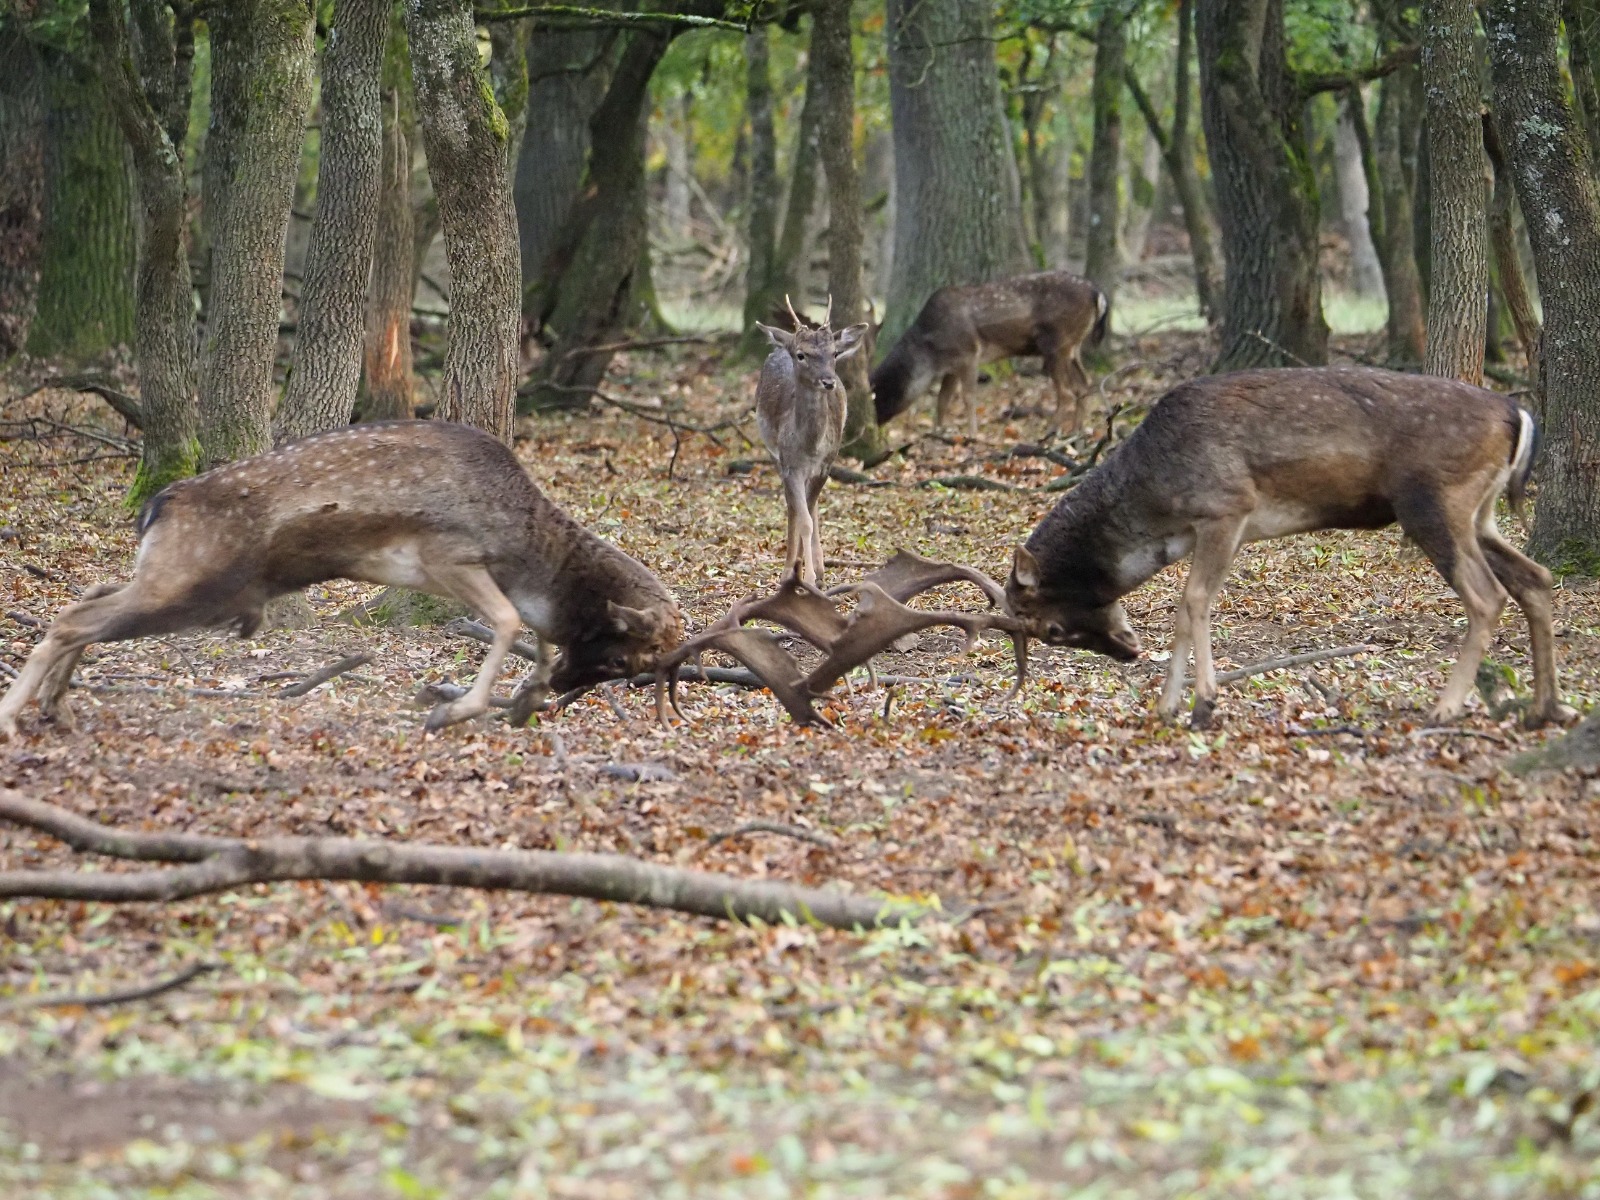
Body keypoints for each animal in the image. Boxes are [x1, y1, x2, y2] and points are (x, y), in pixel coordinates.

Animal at [0, 422, 681, 742]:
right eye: (625, 657)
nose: (567, 687)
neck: (527, 551)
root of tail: (157, 505)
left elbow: (529, 632)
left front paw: (525, 696)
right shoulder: (447, 556)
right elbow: (513, 622)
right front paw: (456, 709)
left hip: (179, 582)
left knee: (89, 597)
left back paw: (58, 707)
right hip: (190, 582)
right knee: (75, 617)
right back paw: (16, 716)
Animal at [755, 296, 870, 588]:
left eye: (834, 353)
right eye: (802, 354)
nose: (828, 381)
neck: (809, 446)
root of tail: (779, 345)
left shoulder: (826, 464)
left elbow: (810, 511)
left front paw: (813, 575)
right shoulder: (789, 464)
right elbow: (802, 518)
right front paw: (799, 576)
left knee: (811, 506)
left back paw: (820, 570)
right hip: (772, 452)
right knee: (792, 506)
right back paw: (790, 570)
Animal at [870, 270, 1107, 438]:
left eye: (879, 393)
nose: (875, 423)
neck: (930, 353)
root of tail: (1097, 294)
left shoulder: (968, 354)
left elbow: (968, 397)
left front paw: (972, 434)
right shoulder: (951, 367)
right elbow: (943, 399)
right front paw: (938, 431)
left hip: (1056, 343)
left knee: (1066, 391)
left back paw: (1050, 431)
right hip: (1073, 347)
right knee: (1084, 385)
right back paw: (1076, 430)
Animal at [1004, 366, 1580, 729]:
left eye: (1051, 630)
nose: (1127, 651)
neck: (1157, 508)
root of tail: (1517, 415)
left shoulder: (1226, 507)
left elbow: (1193, 603)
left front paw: (1200, 705)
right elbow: (1188, 609)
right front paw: (1170, 706)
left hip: (1435, 502)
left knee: (1487, 596)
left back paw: (1445, 709)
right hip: (1481, 514)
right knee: (1535, 577)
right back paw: (1545, 708)